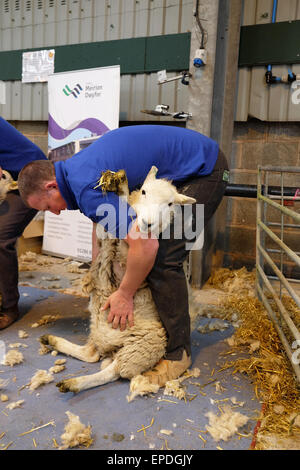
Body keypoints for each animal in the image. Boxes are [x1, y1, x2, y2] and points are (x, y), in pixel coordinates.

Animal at [39, 167, 196, 398]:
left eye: (169, 204)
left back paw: (74, 382)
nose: (147, 223)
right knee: (90, 354)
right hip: (97, 327)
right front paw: (119, 182)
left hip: (140, 347)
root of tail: (110, 345)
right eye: (144, 192)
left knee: (112, 372)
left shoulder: (128, 250)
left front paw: (120, 185)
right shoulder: (106, 235)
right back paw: (52, 341)